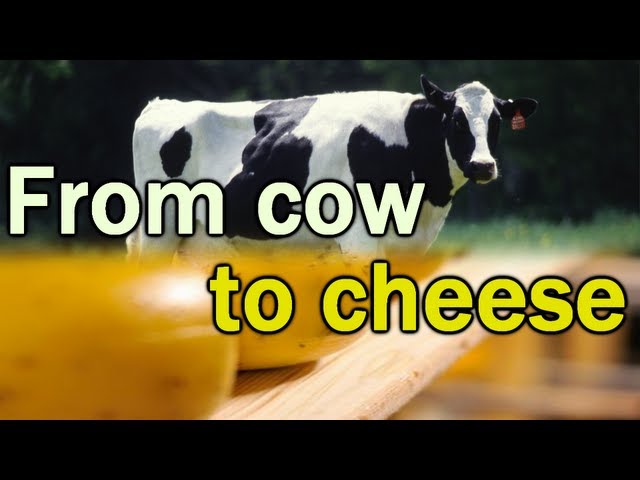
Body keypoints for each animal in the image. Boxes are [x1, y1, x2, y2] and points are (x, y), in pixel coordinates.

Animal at [126, 75, 538, 261]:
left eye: (496, 121)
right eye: (455, 120)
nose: (483, 165)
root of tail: (162, 103)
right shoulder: (360, 240)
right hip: (159, 234)